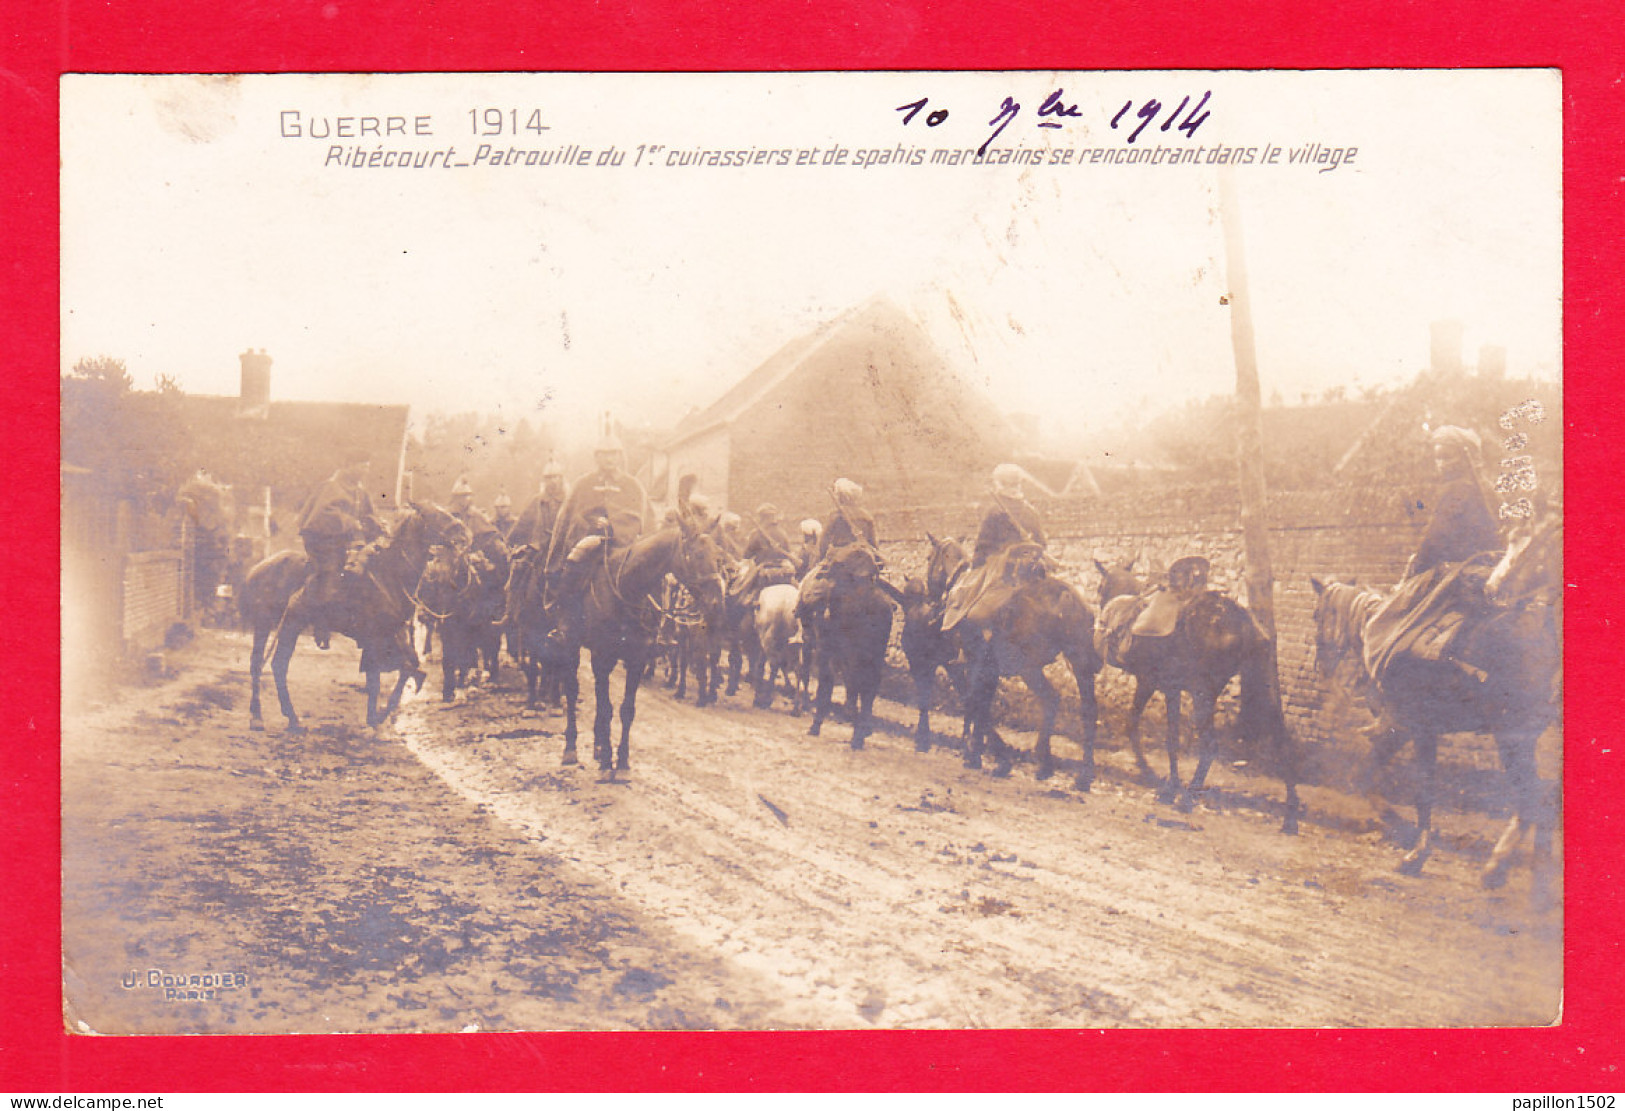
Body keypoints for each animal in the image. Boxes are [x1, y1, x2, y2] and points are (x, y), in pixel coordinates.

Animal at [243, 500, 471, 727]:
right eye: (434, 514)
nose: (464, 533)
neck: (391, 572)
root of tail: (257, 568)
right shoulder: (377, 638)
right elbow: (380, 676)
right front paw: (377, 716)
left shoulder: (394, 632)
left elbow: (408, 667)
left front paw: (382, 712)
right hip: (274, 625)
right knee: (269, 664)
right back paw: (275, 717)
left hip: (278, 626)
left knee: (267, 664)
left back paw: (274, 716)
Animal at [1098, 558, 1300, 828]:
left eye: (1100, 588)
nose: (1102, 625)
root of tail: (1248, 626)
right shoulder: (1170, 688)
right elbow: (1170, 738)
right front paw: (1169, 787)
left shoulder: (1151, 681)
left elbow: (1139, 728)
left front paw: (1156, 778)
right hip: (1263, 685)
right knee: (1281, 739)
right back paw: (1290, 815)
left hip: (1203, 692)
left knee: (1211, 744)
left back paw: (1190, 795)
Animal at [1306, 516, 1560, 890]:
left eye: (1316, 614)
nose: (1322, 665)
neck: (1375, 624)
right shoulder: (1408, 730)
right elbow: (1379, 777)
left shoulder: (1409, 728)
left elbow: (1401, 783)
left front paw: (1412, 846)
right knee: (1542, 798)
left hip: (1513, 736)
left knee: (1533, 797)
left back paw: (1497, 867)